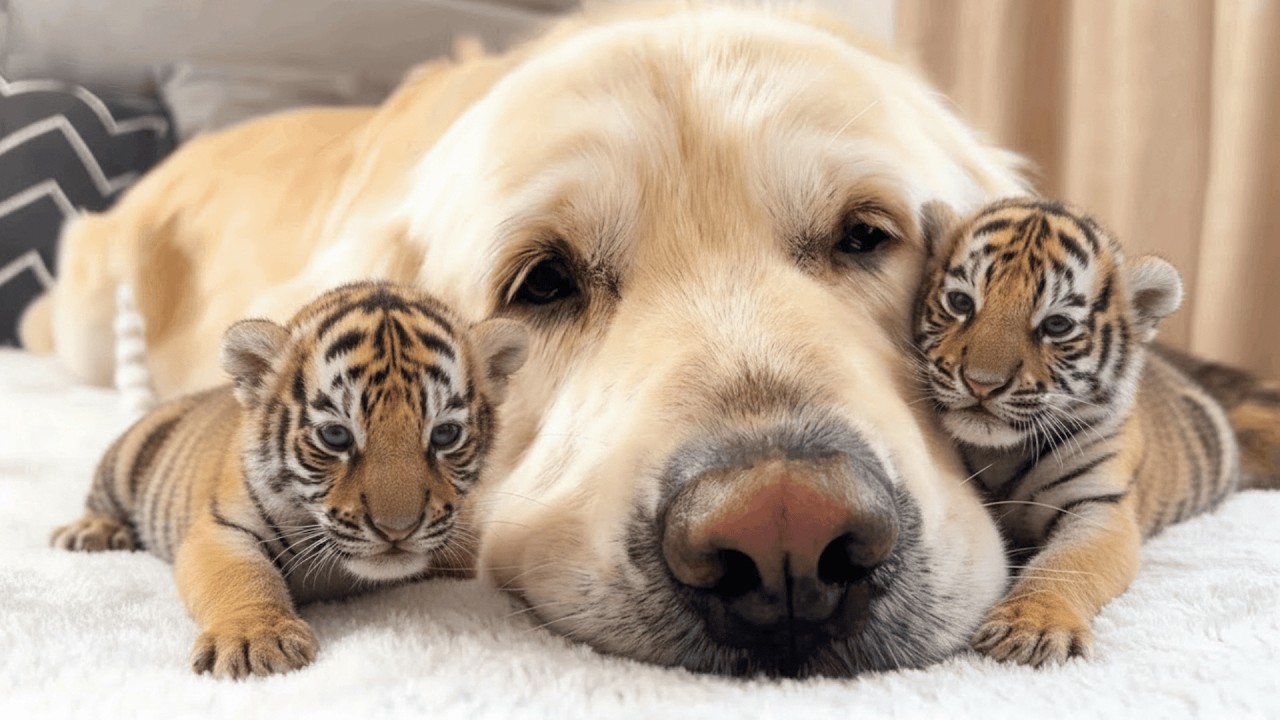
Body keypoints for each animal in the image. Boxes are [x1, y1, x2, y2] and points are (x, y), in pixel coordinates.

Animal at [50, 281, 528, 679]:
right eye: (335, 436)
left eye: (445, 435)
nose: (398, 530)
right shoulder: (221, 530)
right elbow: (239, 576)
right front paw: (253, 639)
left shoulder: (460, 534)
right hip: (123, 459)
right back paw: (91, 531)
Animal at [913, 197, 1280, 667]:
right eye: (960, 302)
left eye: (1056, 326)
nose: (982, 384)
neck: (1001, 452)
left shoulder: (1099, 507)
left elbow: (1067, 563)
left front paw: (1031, 628)